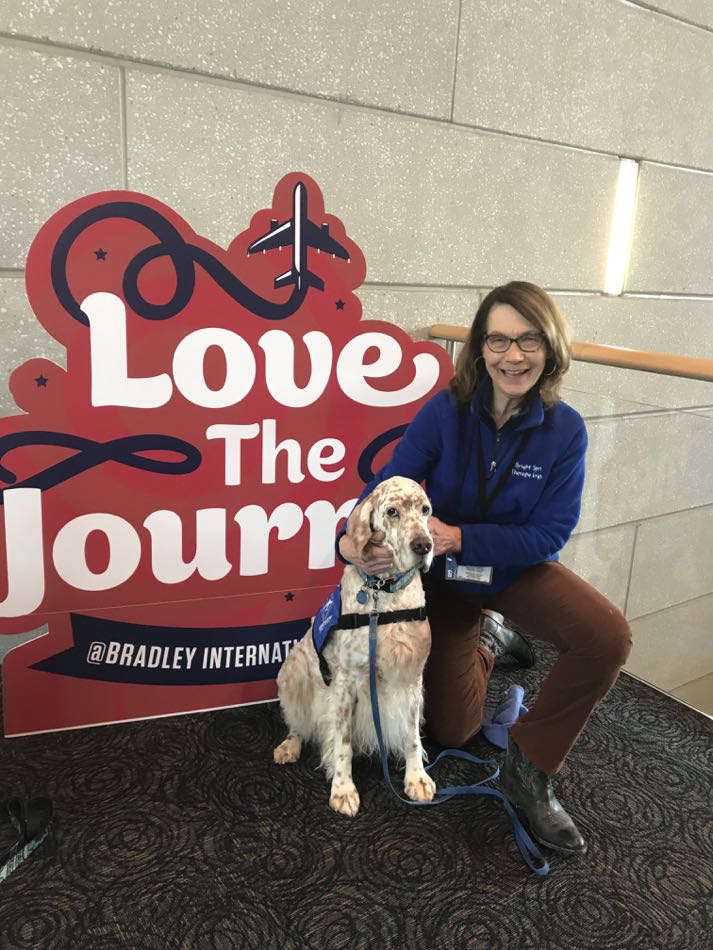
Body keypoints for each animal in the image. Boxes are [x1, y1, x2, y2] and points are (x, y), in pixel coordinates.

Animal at [276, 476, 436, 820]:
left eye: (425, 510)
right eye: (392, 512)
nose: (423, 546)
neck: (384, 593)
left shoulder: (412, 678)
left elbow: (412, 736)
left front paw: (416, 778)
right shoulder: (346, 685)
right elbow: (343, 744)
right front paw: (343, 789)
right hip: (291, 674)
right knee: (298, 723)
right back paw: (289, 746)